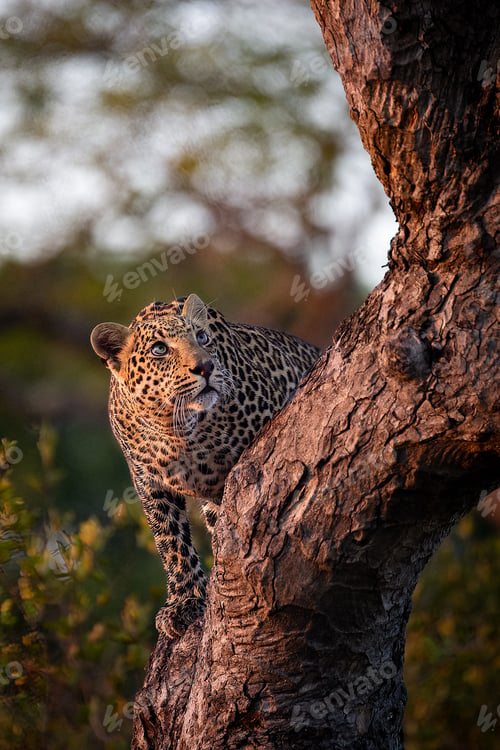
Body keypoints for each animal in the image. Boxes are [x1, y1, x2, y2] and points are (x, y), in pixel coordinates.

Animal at [91, 293, 320, 638]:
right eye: (159, 349)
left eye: (201, 337)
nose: (206, 366)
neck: (177, 429)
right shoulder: (149, 483)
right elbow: (171, 542)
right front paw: (185, 602)